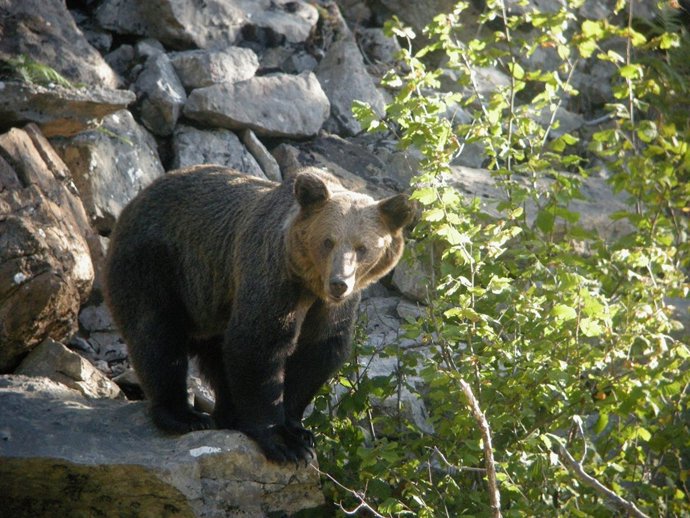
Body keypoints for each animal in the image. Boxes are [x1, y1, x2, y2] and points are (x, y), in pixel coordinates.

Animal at [104, 164, 413, 463]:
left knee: (215, 355)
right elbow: (257, 344)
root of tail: (136, 199)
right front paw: (284, 443)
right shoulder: (272, 275)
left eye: (363, 248)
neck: (309, 284)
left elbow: (318, 352)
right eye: (328, 241)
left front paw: (298, 430)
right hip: (158, 264)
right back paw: (185, 416)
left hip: (213, 303)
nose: (339, 283)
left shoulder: (333, 308)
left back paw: (228, 415)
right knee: (157, 336)